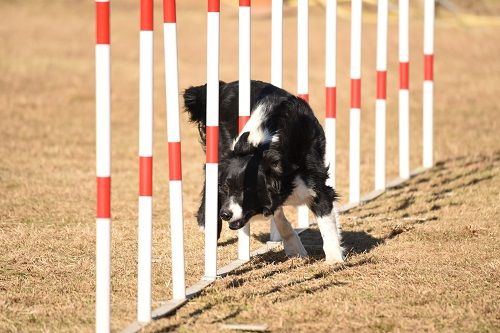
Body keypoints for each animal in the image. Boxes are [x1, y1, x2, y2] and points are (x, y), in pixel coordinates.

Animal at [184, 80, 344, 262]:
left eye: (247, 190)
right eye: (225, 188)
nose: (225, 214)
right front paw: (295, 248)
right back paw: (206, 223)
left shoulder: (315, 182)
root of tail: (224, 86)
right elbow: (280, 217)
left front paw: (333, 259)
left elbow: (325, 219)